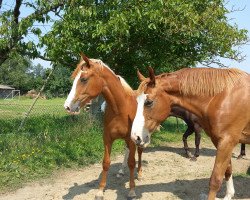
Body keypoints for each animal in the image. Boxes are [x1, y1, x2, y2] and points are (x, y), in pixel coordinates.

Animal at [63, 53, 142, 200]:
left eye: (83, 79)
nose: (68, 106)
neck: (121, 109)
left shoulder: (131, 139)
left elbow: (132, 162)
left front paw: (132, 190)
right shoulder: (107, 138)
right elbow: (106, 163)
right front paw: (100, 191)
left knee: (139, 153)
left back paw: (139, 174)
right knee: (127, 152)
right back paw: (121, 171)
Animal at [131, 67, 250, 200]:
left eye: (149, 102)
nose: (135, 137)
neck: (222, 96)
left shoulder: (226, 141)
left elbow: (215, 180)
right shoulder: (219, 141)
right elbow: (228, 170)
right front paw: (228, 195)